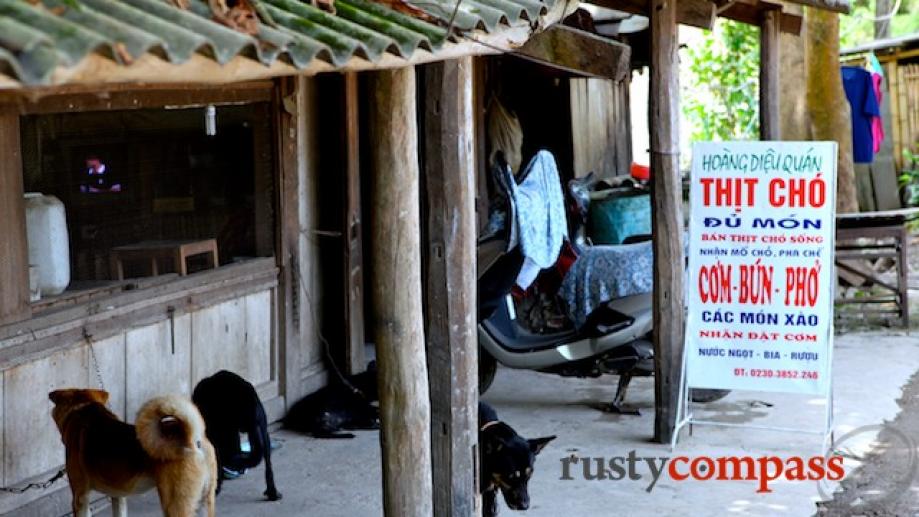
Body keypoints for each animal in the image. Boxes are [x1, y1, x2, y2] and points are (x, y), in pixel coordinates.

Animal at [51, 388, 220, 516]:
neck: (82, 410)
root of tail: (193, 440)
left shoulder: (80, 497)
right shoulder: (118, 496)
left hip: (175, 505)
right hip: (205, 500)